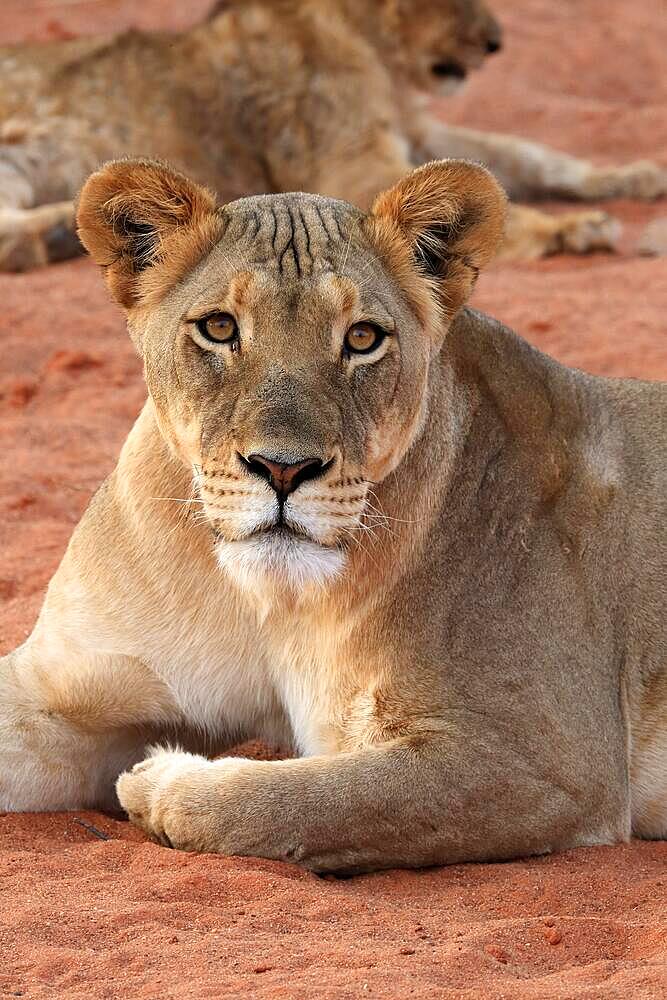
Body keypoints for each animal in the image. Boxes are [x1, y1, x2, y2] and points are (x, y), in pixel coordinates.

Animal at [0, 0, 664, 272]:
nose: (495, 42)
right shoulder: (349, 164)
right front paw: (571, 230)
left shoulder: (417, 131)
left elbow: (528, 156)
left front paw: (633, 175)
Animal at [0, 156, 664, 876]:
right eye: (219, 328)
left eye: (362, 338)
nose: (283, 469)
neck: (268, 599)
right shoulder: (59, 681)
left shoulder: (551, 760)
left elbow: (291, 802)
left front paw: (158, 784)